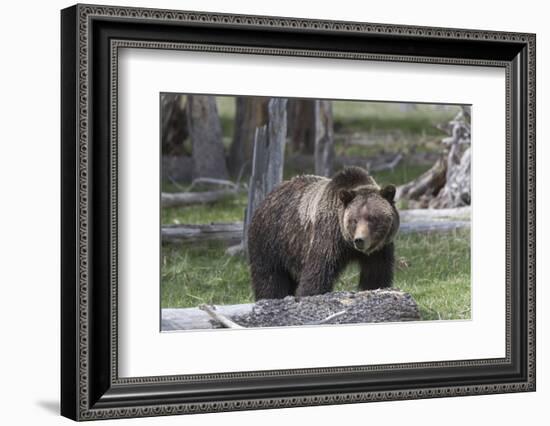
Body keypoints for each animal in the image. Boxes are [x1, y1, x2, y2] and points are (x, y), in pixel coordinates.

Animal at [250, 166, 402, 300]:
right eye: (354, 220)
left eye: (372, 218)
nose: (360, 240)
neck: (347, 244)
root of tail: (268, 196)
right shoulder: (328, 236)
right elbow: (318, 272)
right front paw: (309, 293)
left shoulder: (380, 250)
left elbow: (377, 276)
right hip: (271, 240)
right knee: (269, 277)